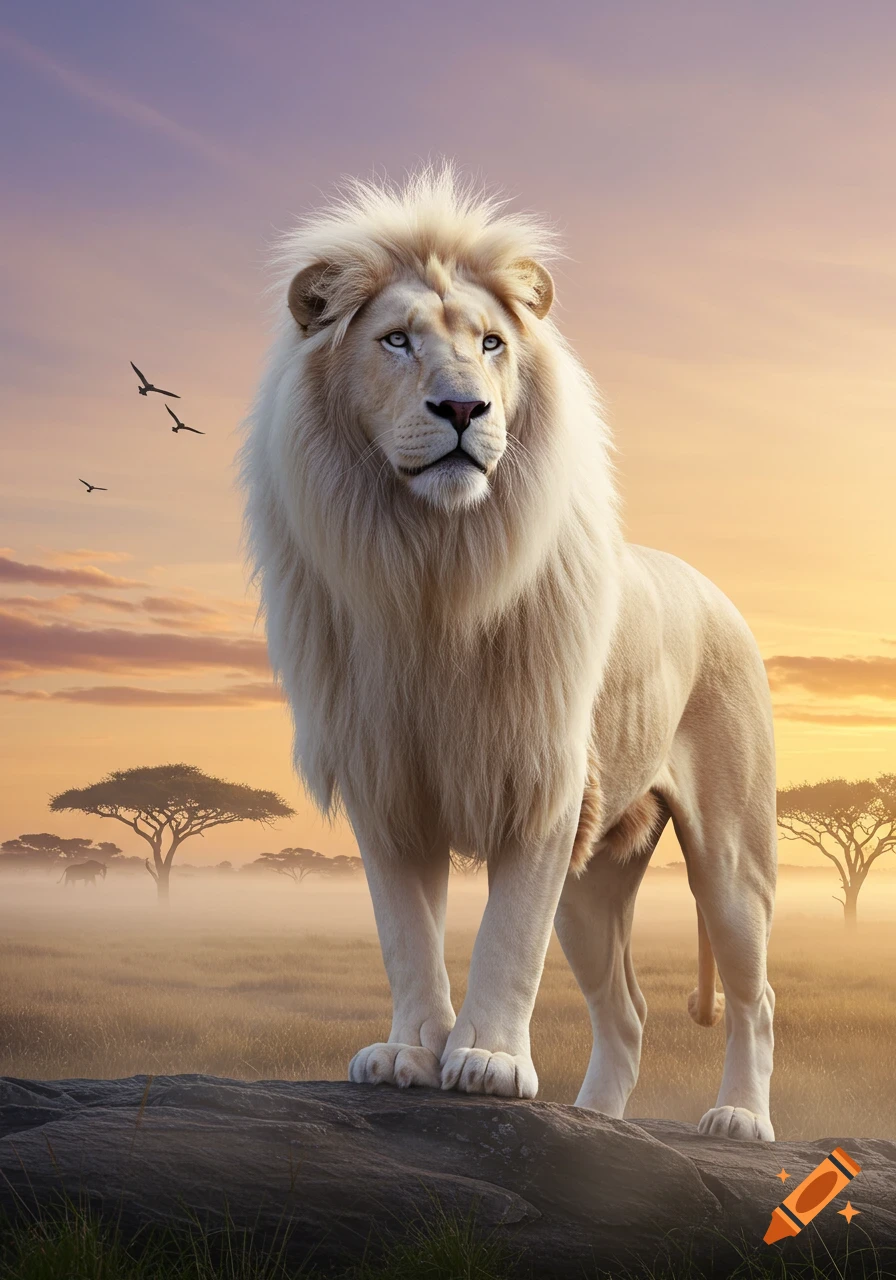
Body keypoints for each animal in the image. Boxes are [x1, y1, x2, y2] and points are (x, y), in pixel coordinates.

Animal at [240, 163, 777, 1141]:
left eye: (491, 344)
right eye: (397, 340)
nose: (462, 408)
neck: (433, 569)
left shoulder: (542, 779)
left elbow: (507, 939)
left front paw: (486, 1062)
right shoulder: (387, 783)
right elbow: (405, 934)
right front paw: (409, 1053)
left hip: (731, 855)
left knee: (754, 996)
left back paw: (738, 1121)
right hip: (597, 885)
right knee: (627, 1012)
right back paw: (595, 1119)